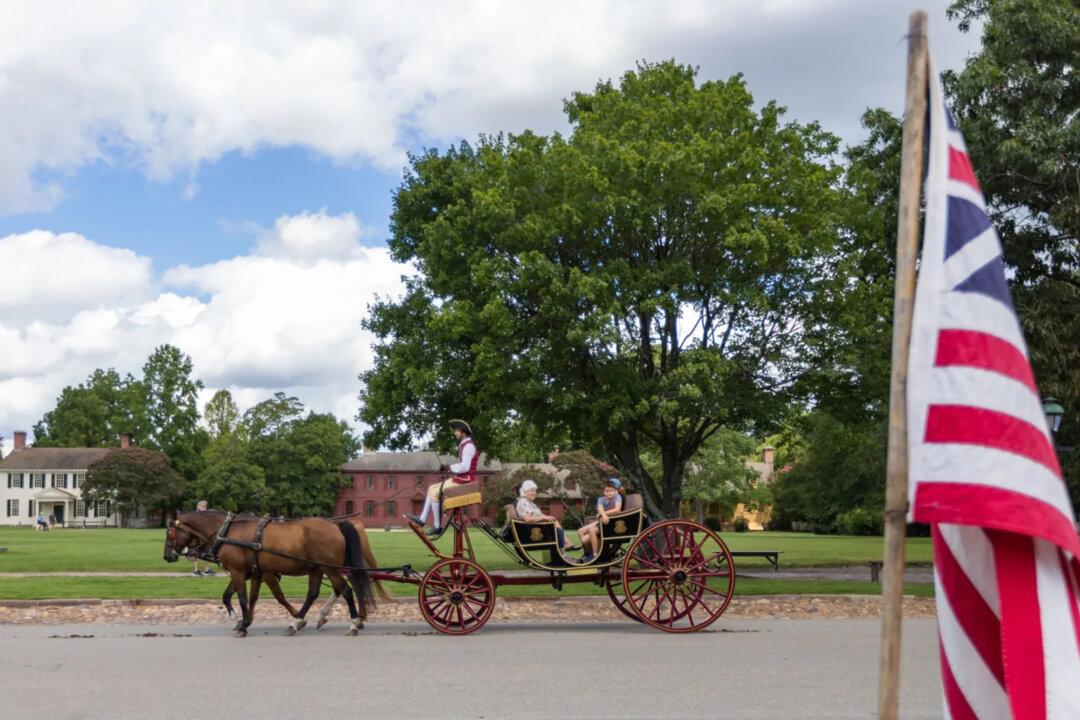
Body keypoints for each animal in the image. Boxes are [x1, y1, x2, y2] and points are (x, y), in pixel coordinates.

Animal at [164, 511, 388, 634]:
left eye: (170, 532)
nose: (167, 556)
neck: (228, 532)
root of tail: (336, 524)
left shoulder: (242, 572)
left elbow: (254, 597)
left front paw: (242, 622)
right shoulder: (253, 572)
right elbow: (240, 596)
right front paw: (243, 620)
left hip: (329, 568)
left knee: (346, 589)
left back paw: (353, 622)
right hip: (319, 569)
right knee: (317, 593)